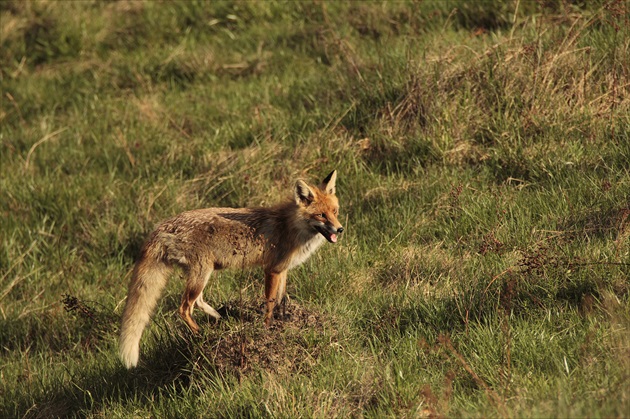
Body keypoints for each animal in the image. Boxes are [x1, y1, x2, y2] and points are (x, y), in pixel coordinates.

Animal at [118, 170, 346, 368]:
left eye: (334, 212)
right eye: (321, 215)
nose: (340, 229)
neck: (290, 227)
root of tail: (163, 225)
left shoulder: (282, 270)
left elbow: (281, 300)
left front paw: (284, 321)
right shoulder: (271, 270)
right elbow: (270, 304)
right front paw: (267, 329)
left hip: (200, 274)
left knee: (197, 301)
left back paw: (219, 318)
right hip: (201, 273)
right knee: (184, 308)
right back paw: (200, 334)